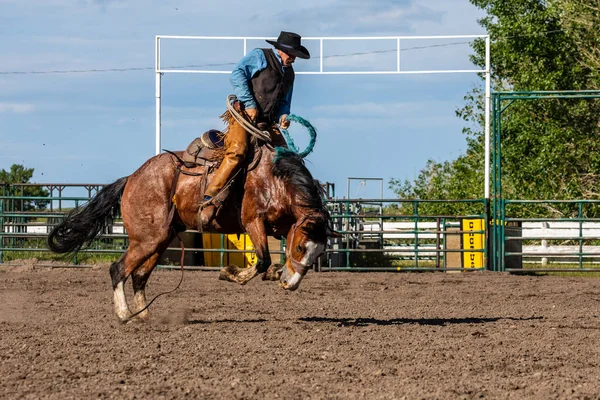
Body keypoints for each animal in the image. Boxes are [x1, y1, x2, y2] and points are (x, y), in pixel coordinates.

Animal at [49, 134, 336, 322]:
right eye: (300, 247)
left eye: (320, 253)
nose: (292, 285)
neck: (274, 180)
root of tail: (132, 178)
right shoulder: (253, 222)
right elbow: (262, 259)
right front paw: (230, 273)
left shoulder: (283, 225)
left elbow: (271, 260)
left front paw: (277, 273)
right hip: (146, 239)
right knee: (118, 269)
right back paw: (124, 315)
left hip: (161, 239)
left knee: (139, 276)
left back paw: (144, 316)